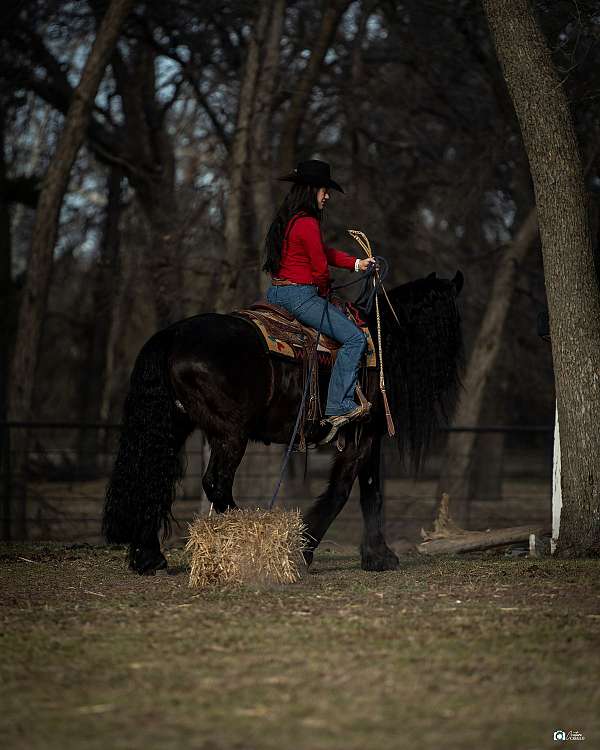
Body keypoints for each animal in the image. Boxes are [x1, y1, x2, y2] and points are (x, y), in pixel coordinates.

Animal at [102, 274, 464, 572]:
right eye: (452, 321)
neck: (379, 341)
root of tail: (172, 334)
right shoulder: (364, 436)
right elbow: (343, 491)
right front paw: (304, 550)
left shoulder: (367, 434)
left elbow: (370, 492)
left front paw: (377, 556)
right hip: (230, 434)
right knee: (216, 483)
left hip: (175, 428)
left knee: (152, 478)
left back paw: (149, 558)